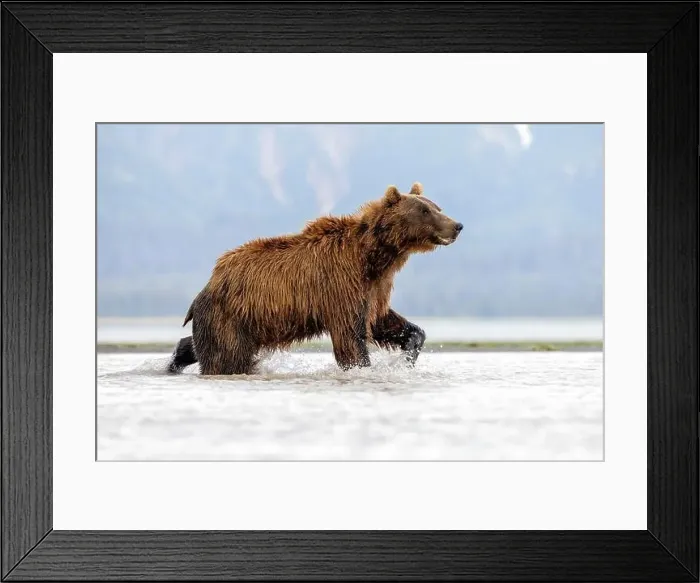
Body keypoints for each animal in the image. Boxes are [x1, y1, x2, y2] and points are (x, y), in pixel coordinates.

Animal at [167, 182, 462, 375]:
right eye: (425, 211)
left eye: (437, 206)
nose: (457, 225)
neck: (376, 256)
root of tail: (208, 284)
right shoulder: (342, 282)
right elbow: (351, 336)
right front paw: (362, 366)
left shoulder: (376, 287)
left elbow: (383, 321)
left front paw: (408, 353)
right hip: (231, 317)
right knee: (227, 358)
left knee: (196, 344)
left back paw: (175, 360)